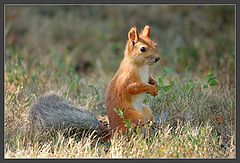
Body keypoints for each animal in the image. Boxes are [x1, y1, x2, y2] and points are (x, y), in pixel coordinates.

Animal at [29, 25, 159, 141]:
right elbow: (133, 87)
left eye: (155, 44)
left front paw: (155, 84)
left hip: (147, 112)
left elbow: (149, 79)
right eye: (143, 49)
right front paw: (150, 88)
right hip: (132, 116)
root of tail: (112, 133)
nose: (157, 58)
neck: (142, 66)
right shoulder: (126, 78)